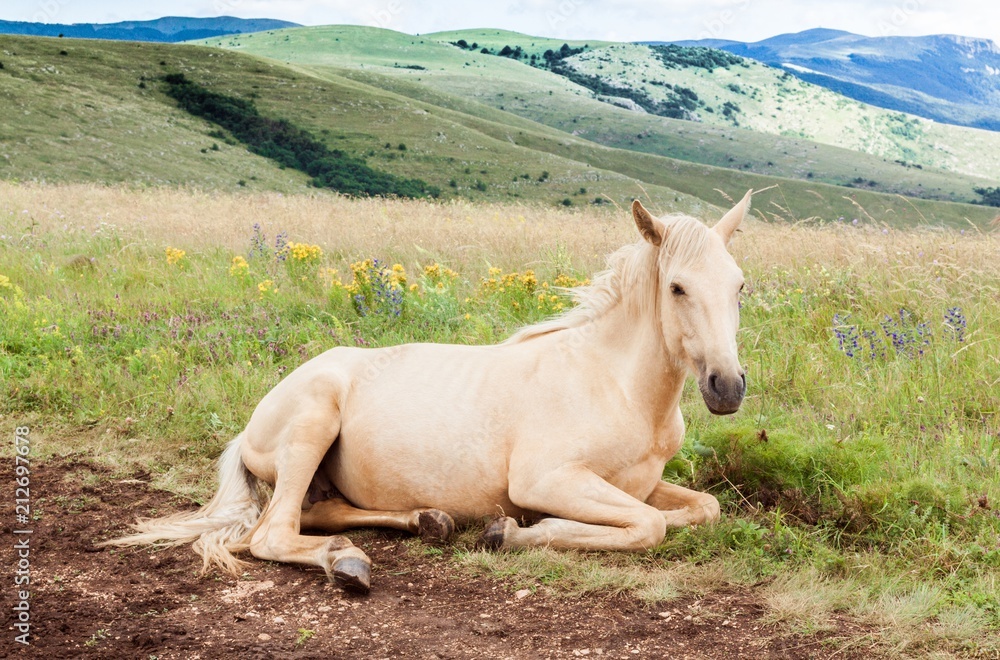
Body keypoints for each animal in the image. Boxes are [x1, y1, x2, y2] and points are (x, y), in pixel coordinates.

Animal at [107, 191, 752, 592]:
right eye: (677, 288)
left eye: (739, 285)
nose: (727, 387)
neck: (614, 384)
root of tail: (250, 426)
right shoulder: (547, 480)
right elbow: (649, 526)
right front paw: (513, 532)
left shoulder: (640, 484)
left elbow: (701, 509)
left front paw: (508, 530)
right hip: (313, 424)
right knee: (273, 533)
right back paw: (348, 561)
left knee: (320, 513)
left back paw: (427, 521)